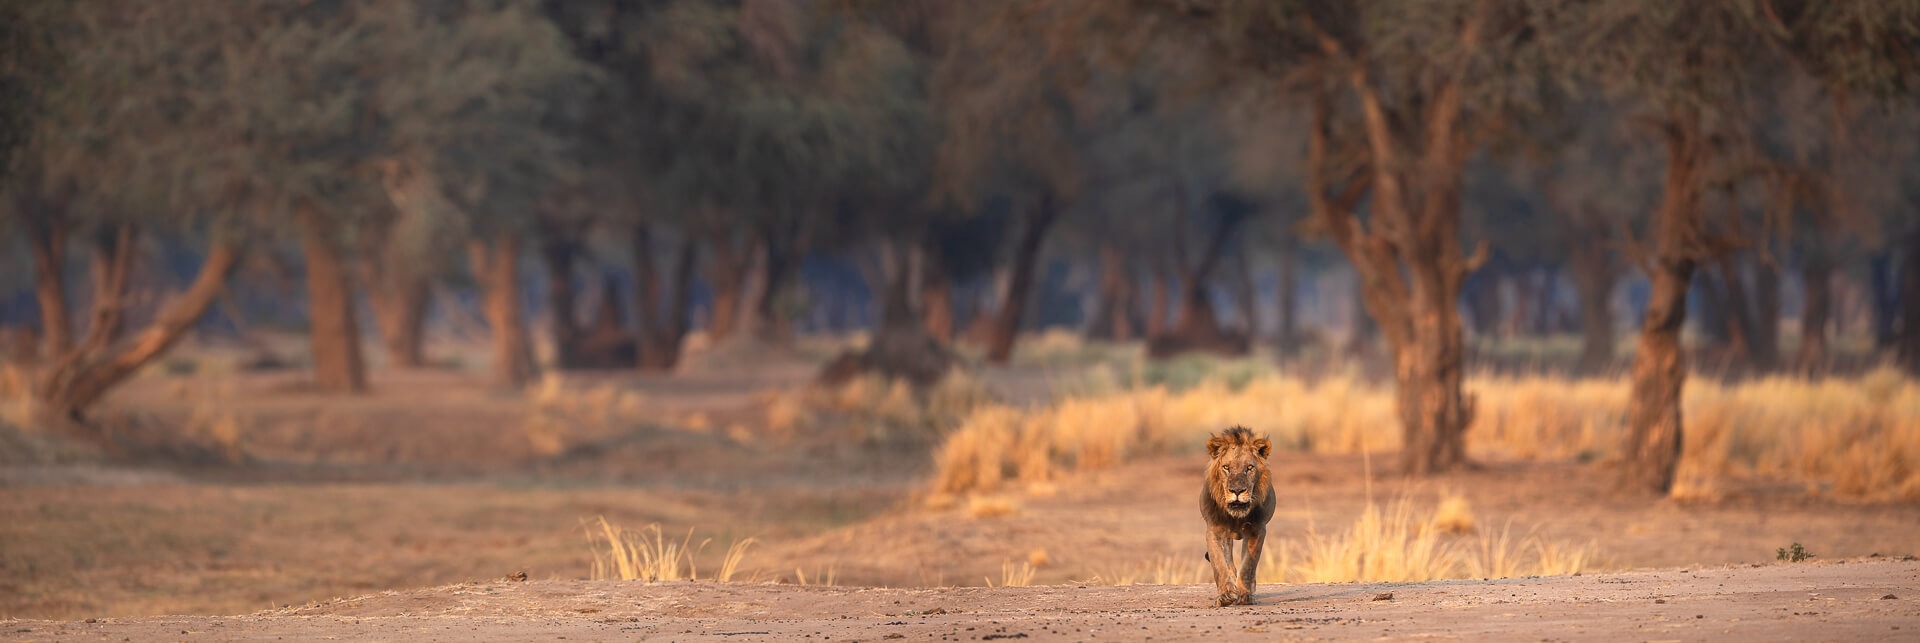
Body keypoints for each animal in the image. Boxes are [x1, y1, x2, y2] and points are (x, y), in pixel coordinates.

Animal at [1198, 426, 1274, 606]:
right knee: (1229, 563)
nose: (1237, 491)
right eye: (1226, 467)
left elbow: (1248, 565)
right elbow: (1219, 563)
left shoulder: (1257, 529)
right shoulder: (1214, 530)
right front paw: (1226, 595)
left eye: (1249, 468)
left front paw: (1245, 595)